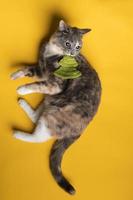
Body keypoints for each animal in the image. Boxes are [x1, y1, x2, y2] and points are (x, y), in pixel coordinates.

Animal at [10, 19, 102, 194]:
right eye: (68, 43)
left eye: (78, 46)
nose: (72, 53)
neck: (51, 52)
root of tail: (79, 130)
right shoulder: (40, 69)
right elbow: (28, 68)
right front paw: (15, 74)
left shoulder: (55, 85)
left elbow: (37, 85)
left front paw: (23, 89)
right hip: (52, 101)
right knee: (37, 116)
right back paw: (22, 103)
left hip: (57, 110)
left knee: (39, 136)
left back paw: (17, 133)